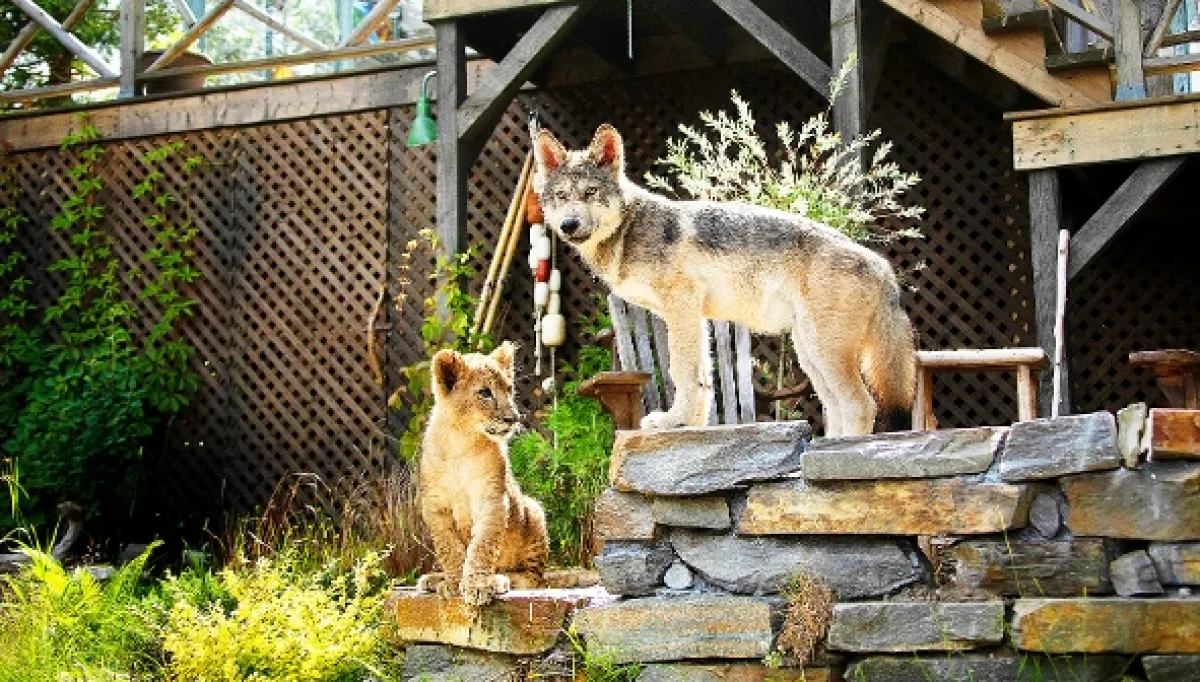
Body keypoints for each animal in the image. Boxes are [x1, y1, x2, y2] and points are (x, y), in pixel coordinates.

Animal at [416, 342, 549, 605]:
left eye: (509, 389)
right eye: (485, 393)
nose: (513, 418)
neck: (460, 441)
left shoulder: (492, 500)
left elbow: (482, 546)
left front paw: (478, 586)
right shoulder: (435, 506)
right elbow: (449, 548)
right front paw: (453, 583)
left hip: (533, 510)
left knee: (533, 578)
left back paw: (501, 579)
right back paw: (434, 579)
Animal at [533, 124, 916, 436]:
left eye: (590, 193)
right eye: (562, 196)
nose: (568, 225)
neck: (628, 231)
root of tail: (883, 266)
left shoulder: (681, 306)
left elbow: (681, 372)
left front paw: (671, 421)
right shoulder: (694, 316)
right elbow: (702, 379)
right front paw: (691, 428)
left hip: (824, 352)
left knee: (861, 405)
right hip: (811, 353)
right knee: (835, 407)